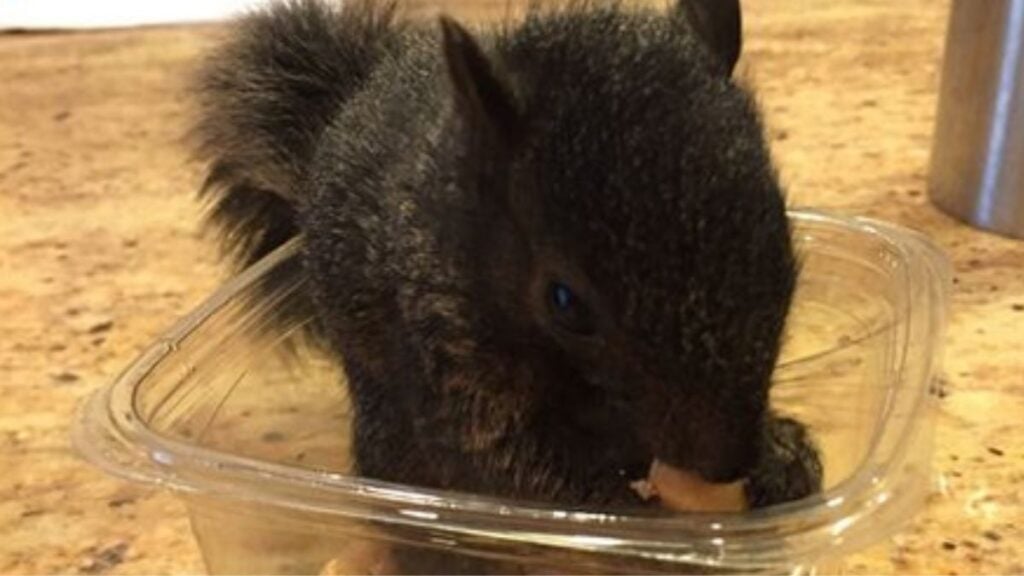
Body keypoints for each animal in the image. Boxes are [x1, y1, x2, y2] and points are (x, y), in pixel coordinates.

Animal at [193, 0, 821, 569]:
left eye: (780, 231)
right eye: (565, 302)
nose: (728, 462)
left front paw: (786, 455)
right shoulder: (443, 352)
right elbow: (507, 464)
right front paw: (646, 520)